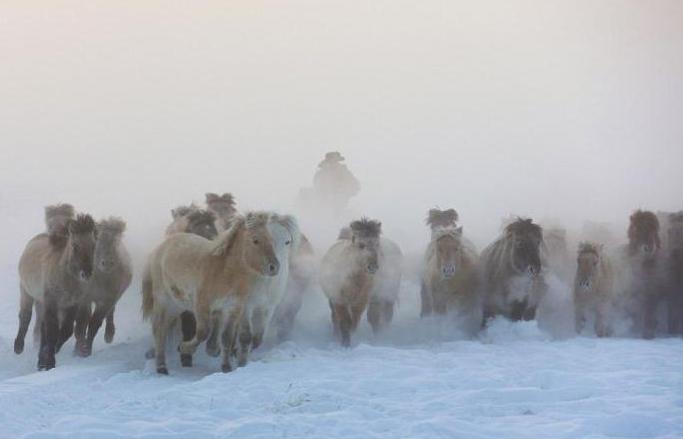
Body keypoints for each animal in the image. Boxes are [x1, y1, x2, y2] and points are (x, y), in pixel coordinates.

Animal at [15, 211, 97, 370]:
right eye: (75, 246)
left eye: (93, 246)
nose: (86, 273)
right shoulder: (52, 302)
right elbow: (52, 332)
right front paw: (49, 361)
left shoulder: (71, 304)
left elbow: (66, 330)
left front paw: (47, 357)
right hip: (26, 292)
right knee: (25, 316)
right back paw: (18, 346)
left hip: (41, 302)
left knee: (42, 327)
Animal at [74, 217, 132, 358]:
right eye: (98, 240)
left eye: (116, 242)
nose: (107, 262)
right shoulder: (85, 298)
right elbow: (82, 322)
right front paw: (79, 349)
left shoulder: (108, 299)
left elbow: (94, 323)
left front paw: (86, 349)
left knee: (110, 314)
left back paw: (109, 334)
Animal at [143, 211, 296, 372]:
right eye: (255, 240)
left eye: (285, 241)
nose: (274, 267)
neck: (224, 273)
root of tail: (163, 246)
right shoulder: (202, 306)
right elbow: (203, 332)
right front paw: (185, 348)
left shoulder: (234, 309)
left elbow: (228, 338)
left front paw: (226, 366)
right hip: (164, 300)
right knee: (159, 330)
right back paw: (161, 367)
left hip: (178, 304)